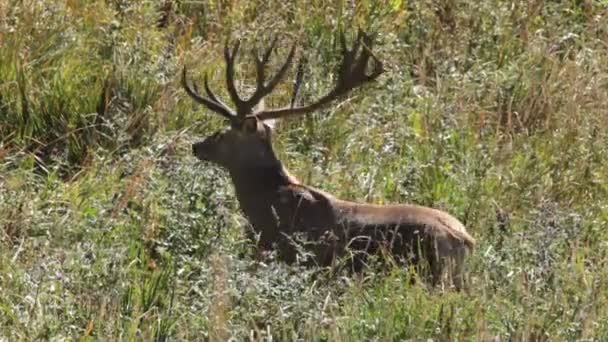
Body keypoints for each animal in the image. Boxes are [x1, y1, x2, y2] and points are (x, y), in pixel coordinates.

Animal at [183, 31, 478, 288]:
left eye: (223, 133)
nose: (197, 146)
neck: (264, 200)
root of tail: (465, 238)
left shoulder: (281, 249)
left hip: (431, 270)